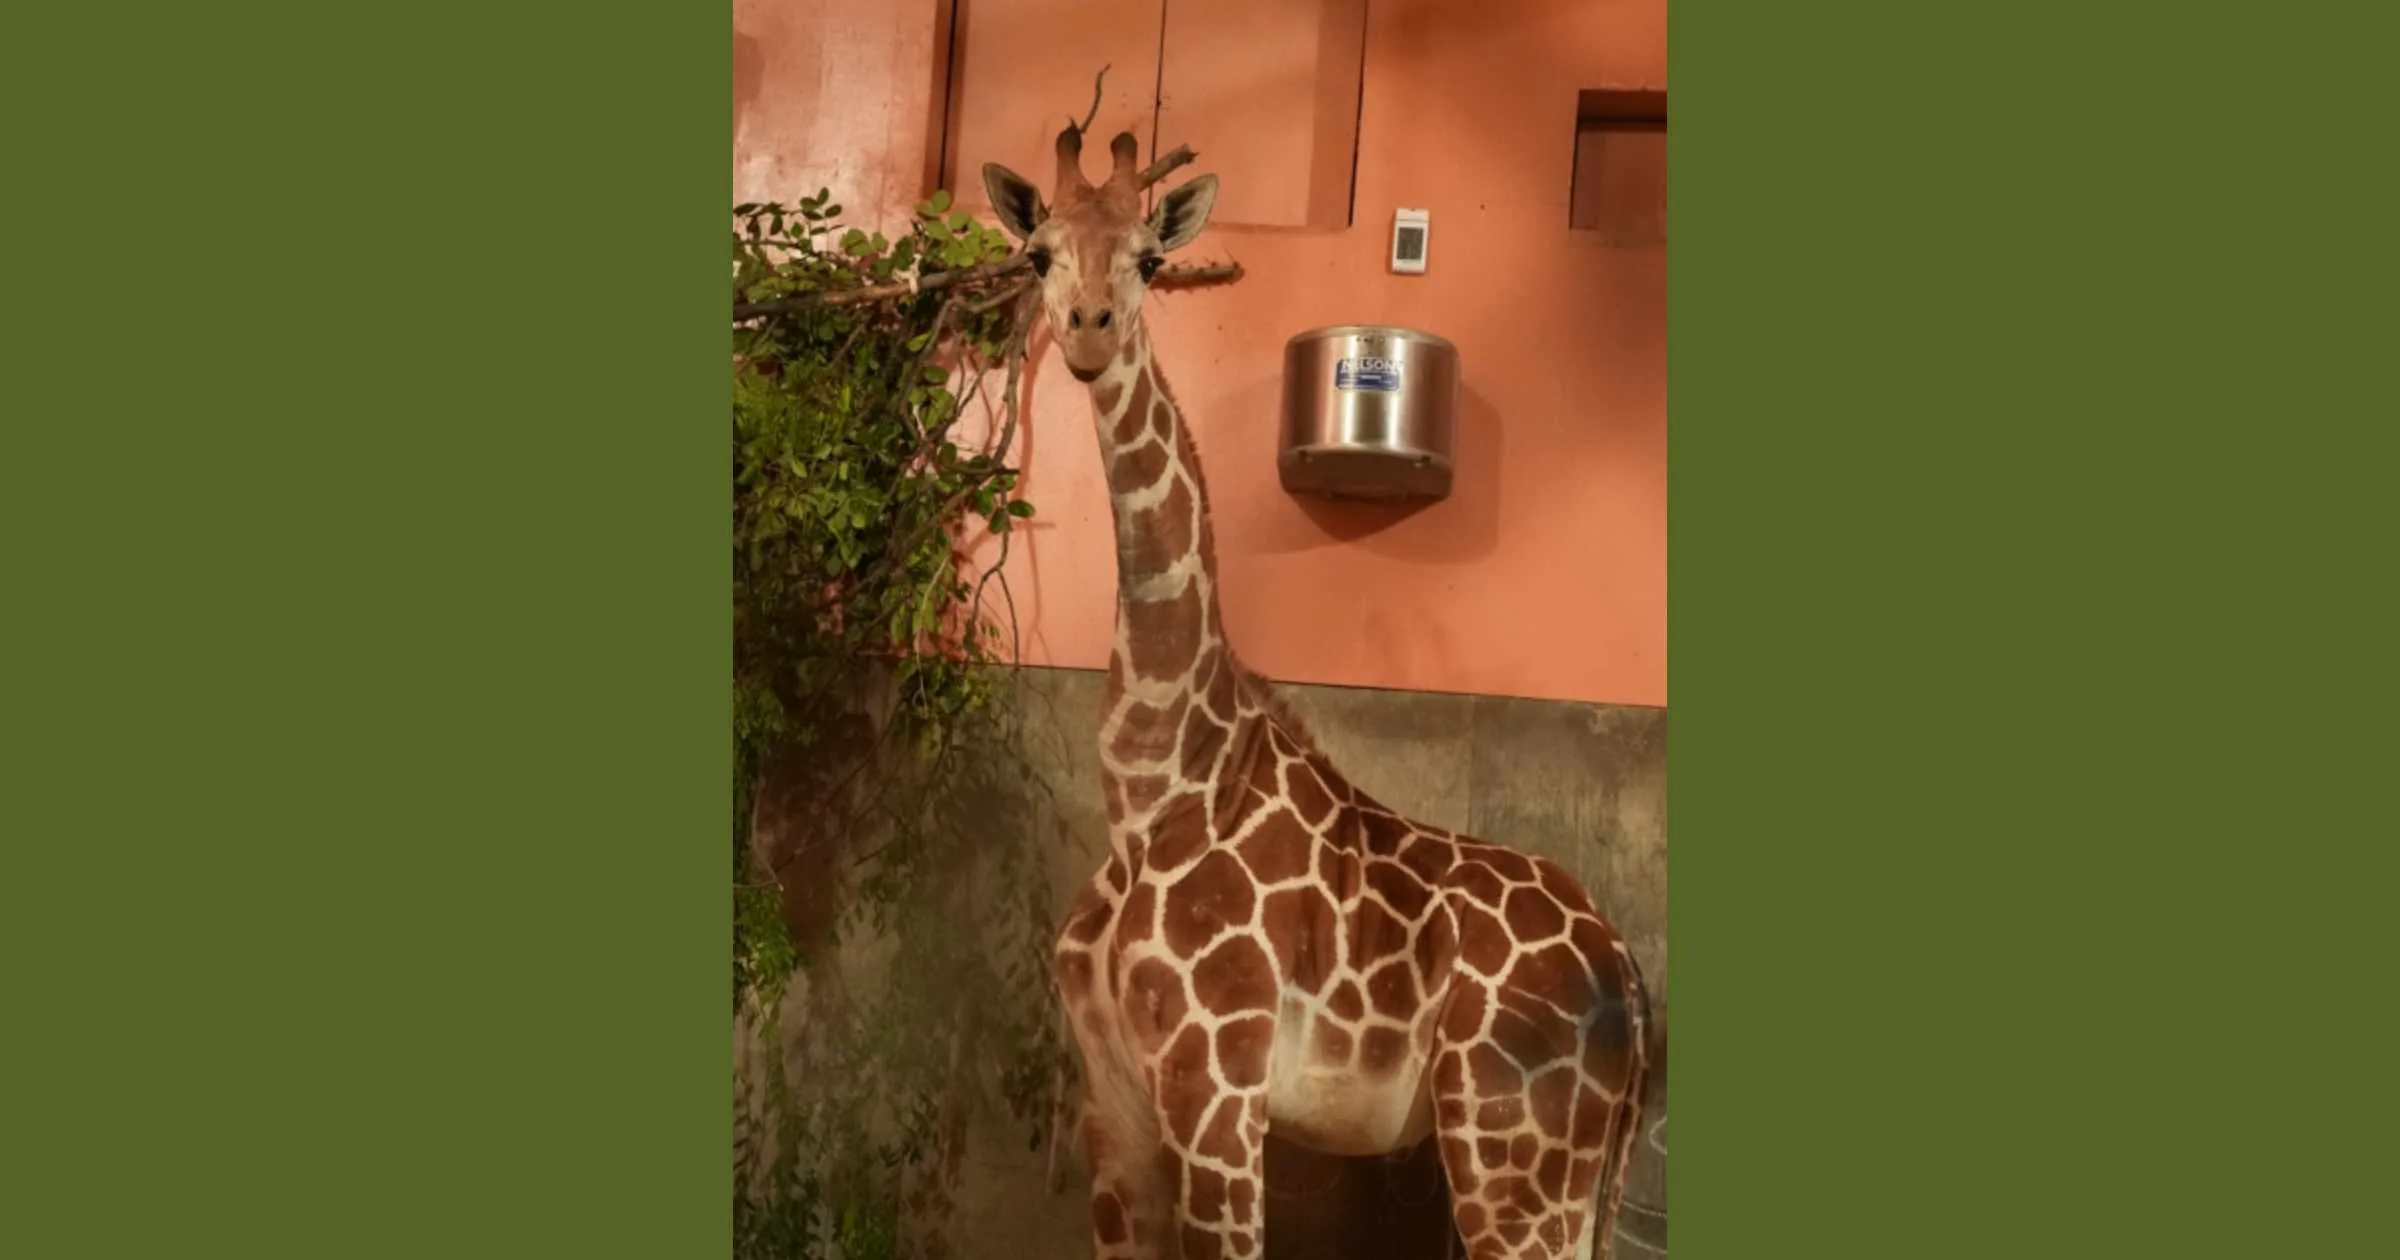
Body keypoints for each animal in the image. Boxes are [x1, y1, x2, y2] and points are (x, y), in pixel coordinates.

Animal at [983, 120, 1653, 1260]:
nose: (1088, 333)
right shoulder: (1113, 1106)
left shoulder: (1217, 1091)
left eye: (1149, 260)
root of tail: (1634, 981)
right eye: (1038, 255)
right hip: (1552, 1167)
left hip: (1513, 1151)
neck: (1151, 784)